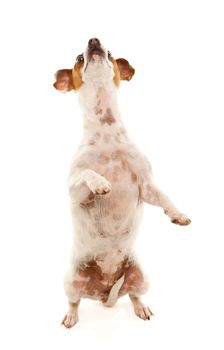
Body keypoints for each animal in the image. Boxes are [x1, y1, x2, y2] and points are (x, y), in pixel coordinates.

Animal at [53, 37, 190, 328]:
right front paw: (101, 183)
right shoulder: (77, 192)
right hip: (70, 280)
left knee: (134, 294)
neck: (106, 131)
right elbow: (88, 174)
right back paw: (71, 316)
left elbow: (165, 197)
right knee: (74, 301)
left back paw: (141, 308)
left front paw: (178, 215)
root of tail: (103, 293)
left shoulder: (145, 186)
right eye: (78, 58)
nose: (94, 40)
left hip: (142, 276)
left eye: (111, 52)